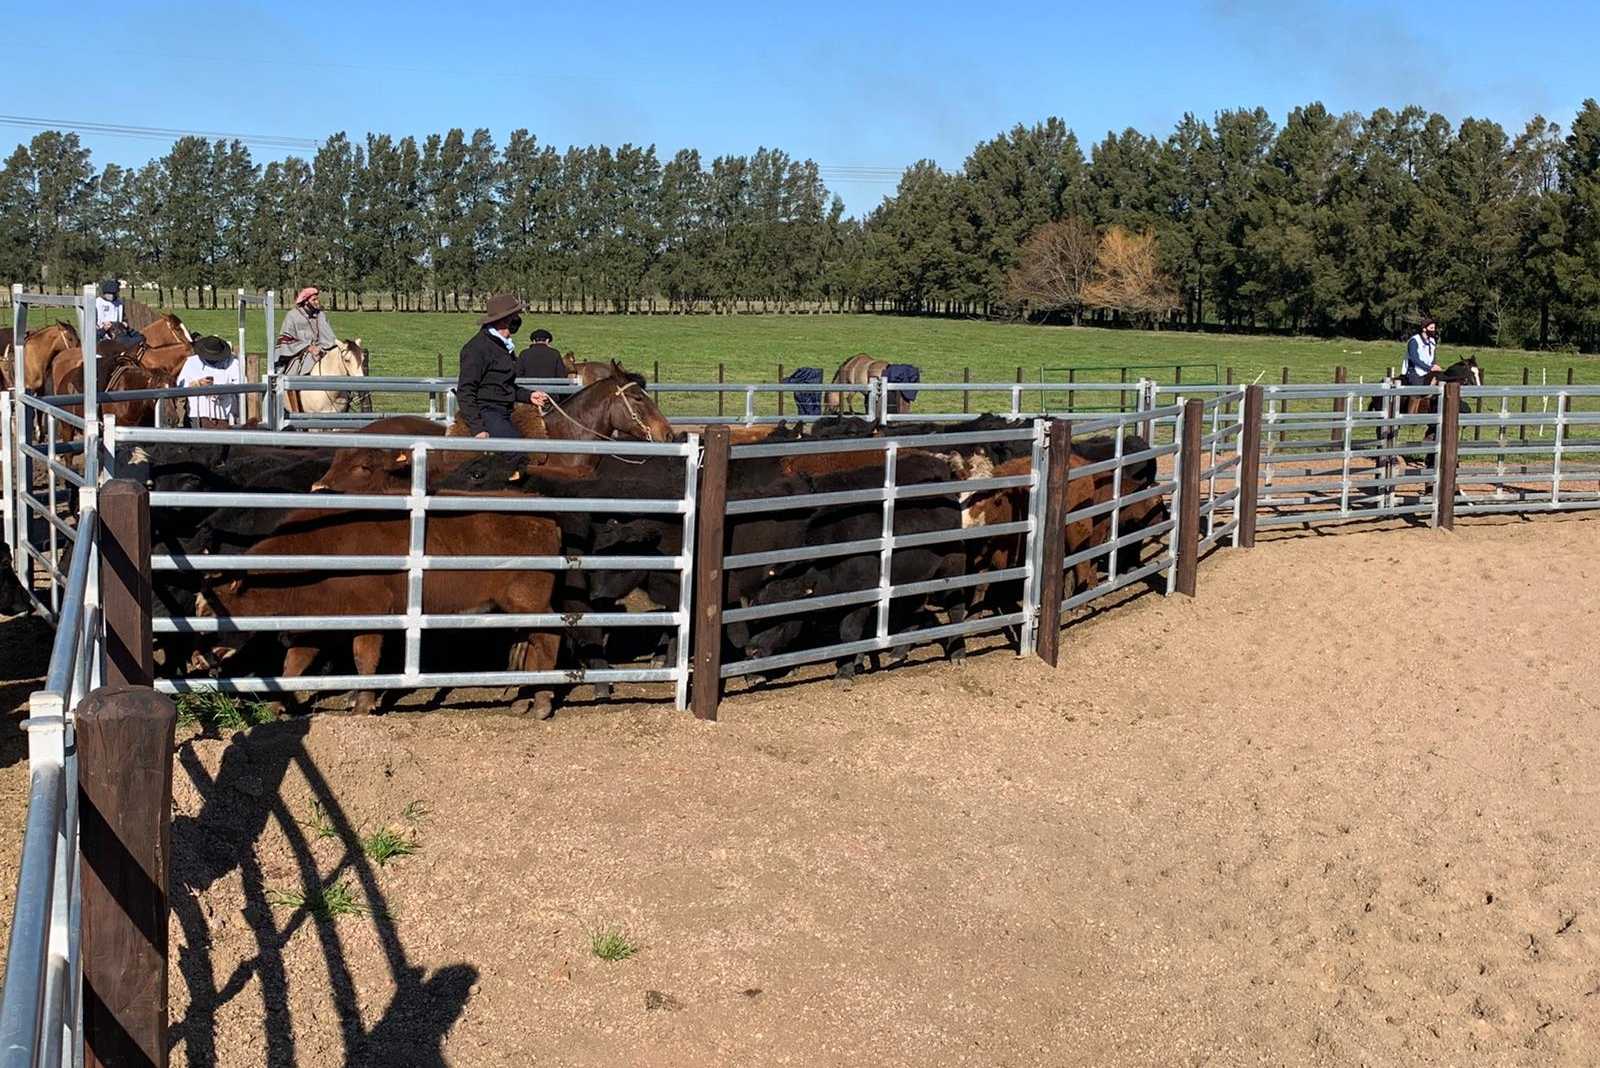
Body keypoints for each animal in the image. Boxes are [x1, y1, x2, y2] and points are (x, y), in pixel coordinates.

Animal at [192, 508, 563, 716]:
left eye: (210, 611)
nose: (195, 658)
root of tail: (545, 521)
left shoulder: (371, 613)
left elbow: (364, 659)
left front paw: (361, 704)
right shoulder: (314, 625)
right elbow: (294, 666)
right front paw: (276, 706)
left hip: (529, 601)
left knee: (549, 639)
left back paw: (543, 700)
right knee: (530, 644)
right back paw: (522, 698)